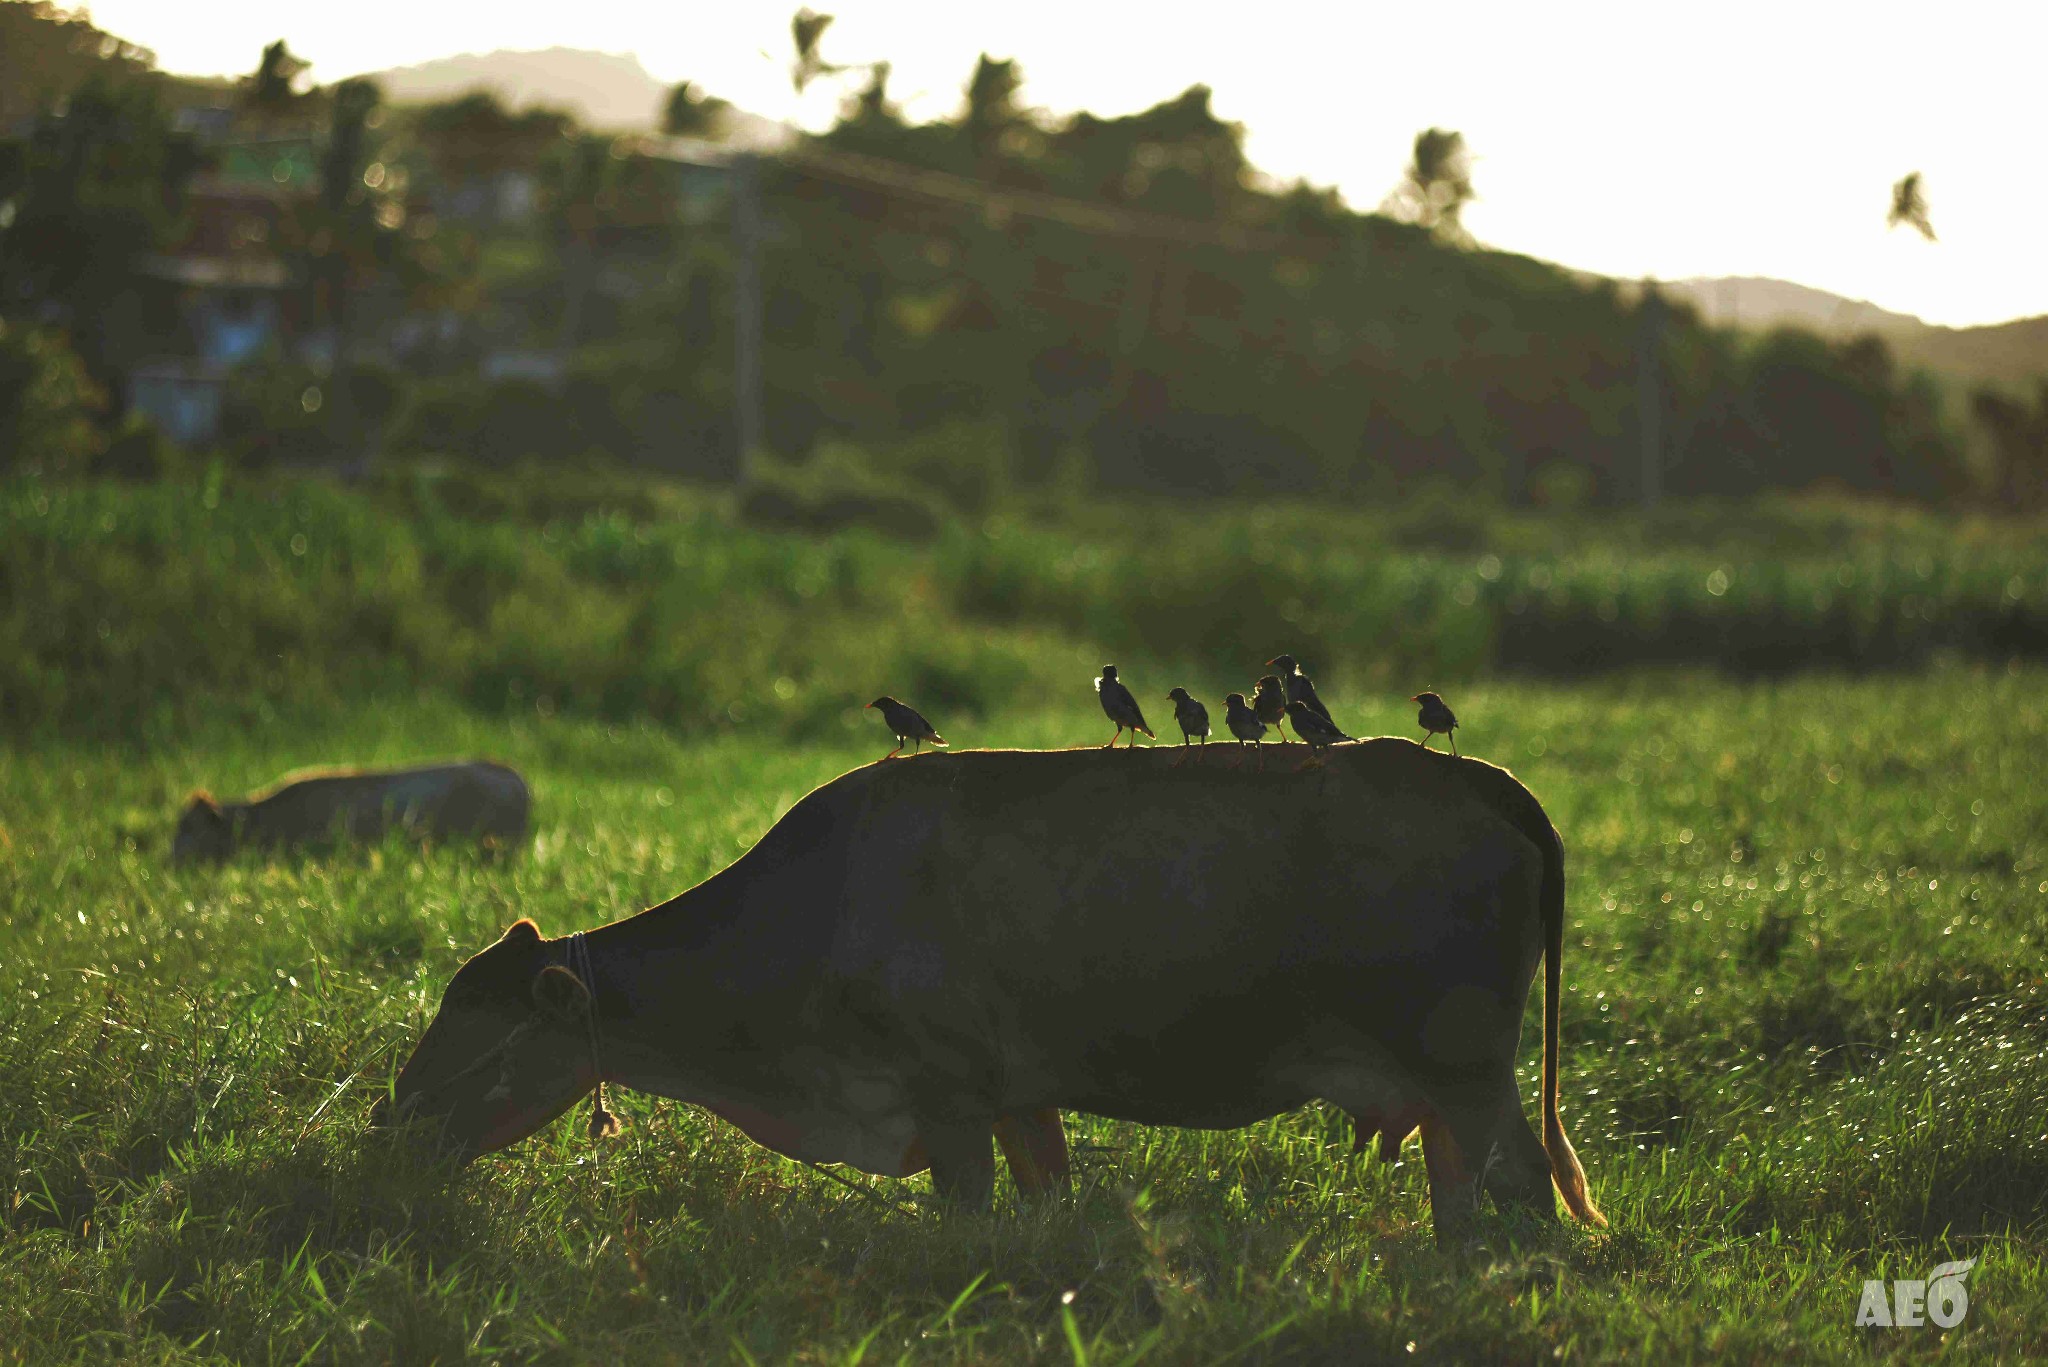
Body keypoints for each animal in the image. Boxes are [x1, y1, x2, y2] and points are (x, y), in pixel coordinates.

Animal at [380, 750, 1597, 1237]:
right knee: (1463, 1189)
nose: (393, 1121)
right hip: (1443, 1093)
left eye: (479, 1032)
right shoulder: (1022, 1099)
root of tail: (1478, 774)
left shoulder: (953, 1100)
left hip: (1467, 1069)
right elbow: (1048, 1200)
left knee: (1522, 1186)